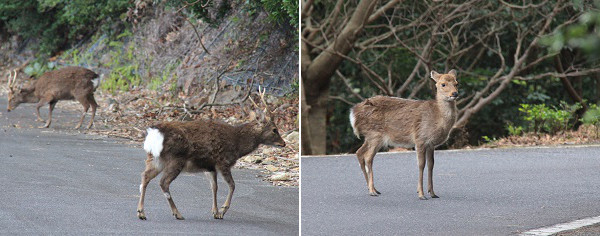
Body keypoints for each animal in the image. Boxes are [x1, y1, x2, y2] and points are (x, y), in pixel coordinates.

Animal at [136, 87, 286, 220]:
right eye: (274, 129)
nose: (284, 143)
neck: (237, 143)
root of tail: (154, 134)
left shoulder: (210, 166)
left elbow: (214, 187)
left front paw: (215, 211)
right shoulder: (223, 161)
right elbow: (232, 185)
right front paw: (222, 210)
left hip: (155, 159)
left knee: (145, 177)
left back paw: (141, 212)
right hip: (175, 159)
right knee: (163, 182)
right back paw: (177, 213)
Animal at [350, 69, 458, 199]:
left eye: (456, 83)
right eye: (443, 84)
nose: (455, 93)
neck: (438, 118)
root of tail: (354, 114)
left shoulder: (431, 144)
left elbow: (431, 165)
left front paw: (432, 193)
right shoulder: (420, 138)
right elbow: (421, 164)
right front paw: (421, 194)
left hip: (370, 137)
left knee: (359, 152)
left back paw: (373, 189)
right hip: (375, 134)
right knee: (368, 157)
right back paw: (372, 191)